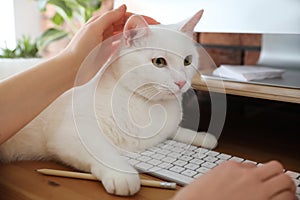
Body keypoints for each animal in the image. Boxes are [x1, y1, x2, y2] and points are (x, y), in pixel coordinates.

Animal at [0, 9, 216, 195]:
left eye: (187, 61)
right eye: (159, 62)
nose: (181, 82)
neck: (147, 104)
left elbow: (177, 131)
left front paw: (202, 136)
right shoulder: (72, 133)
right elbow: (103, 152)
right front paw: (123, 174)